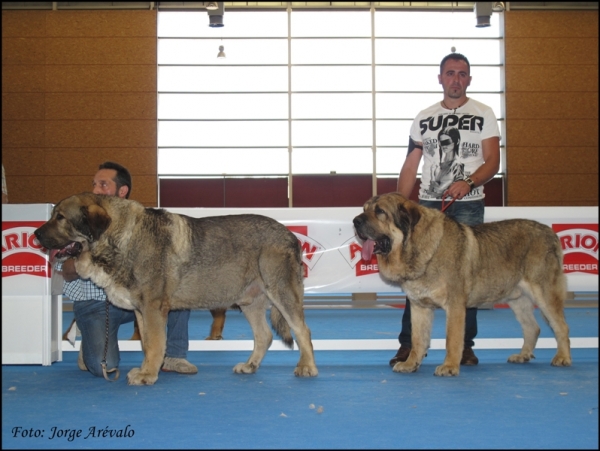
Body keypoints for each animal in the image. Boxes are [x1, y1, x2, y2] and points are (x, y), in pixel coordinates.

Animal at [34, 192, 318, 386]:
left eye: (60, 217)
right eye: (53, 214)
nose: (35, 235)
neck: (123, 238)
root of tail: (290, 235)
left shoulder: (153, 308)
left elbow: (155, 344)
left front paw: (148, 374)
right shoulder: (141, 311)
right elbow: (146, 344)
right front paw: (147, 369)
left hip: (281, 293)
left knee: (302, 330)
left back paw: (307, 367)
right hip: (250, 302)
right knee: (264, 336)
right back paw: (250, 366)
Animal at [352, 192, 572, 376]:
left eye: (380, 211)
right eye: (364, 209)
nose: (355, 221)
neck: (419, 248)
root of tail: (550, 233)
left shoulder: (455, 306)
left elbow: (452, 339)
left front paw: (449, 366)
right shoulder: (419, 307)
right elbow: (417, 340)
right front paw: (411, 364)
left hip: (544, 294)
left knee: (561, 327)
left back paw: (563, 358)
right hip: (518, 300)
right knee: (532, 328)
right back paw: (523, 355)